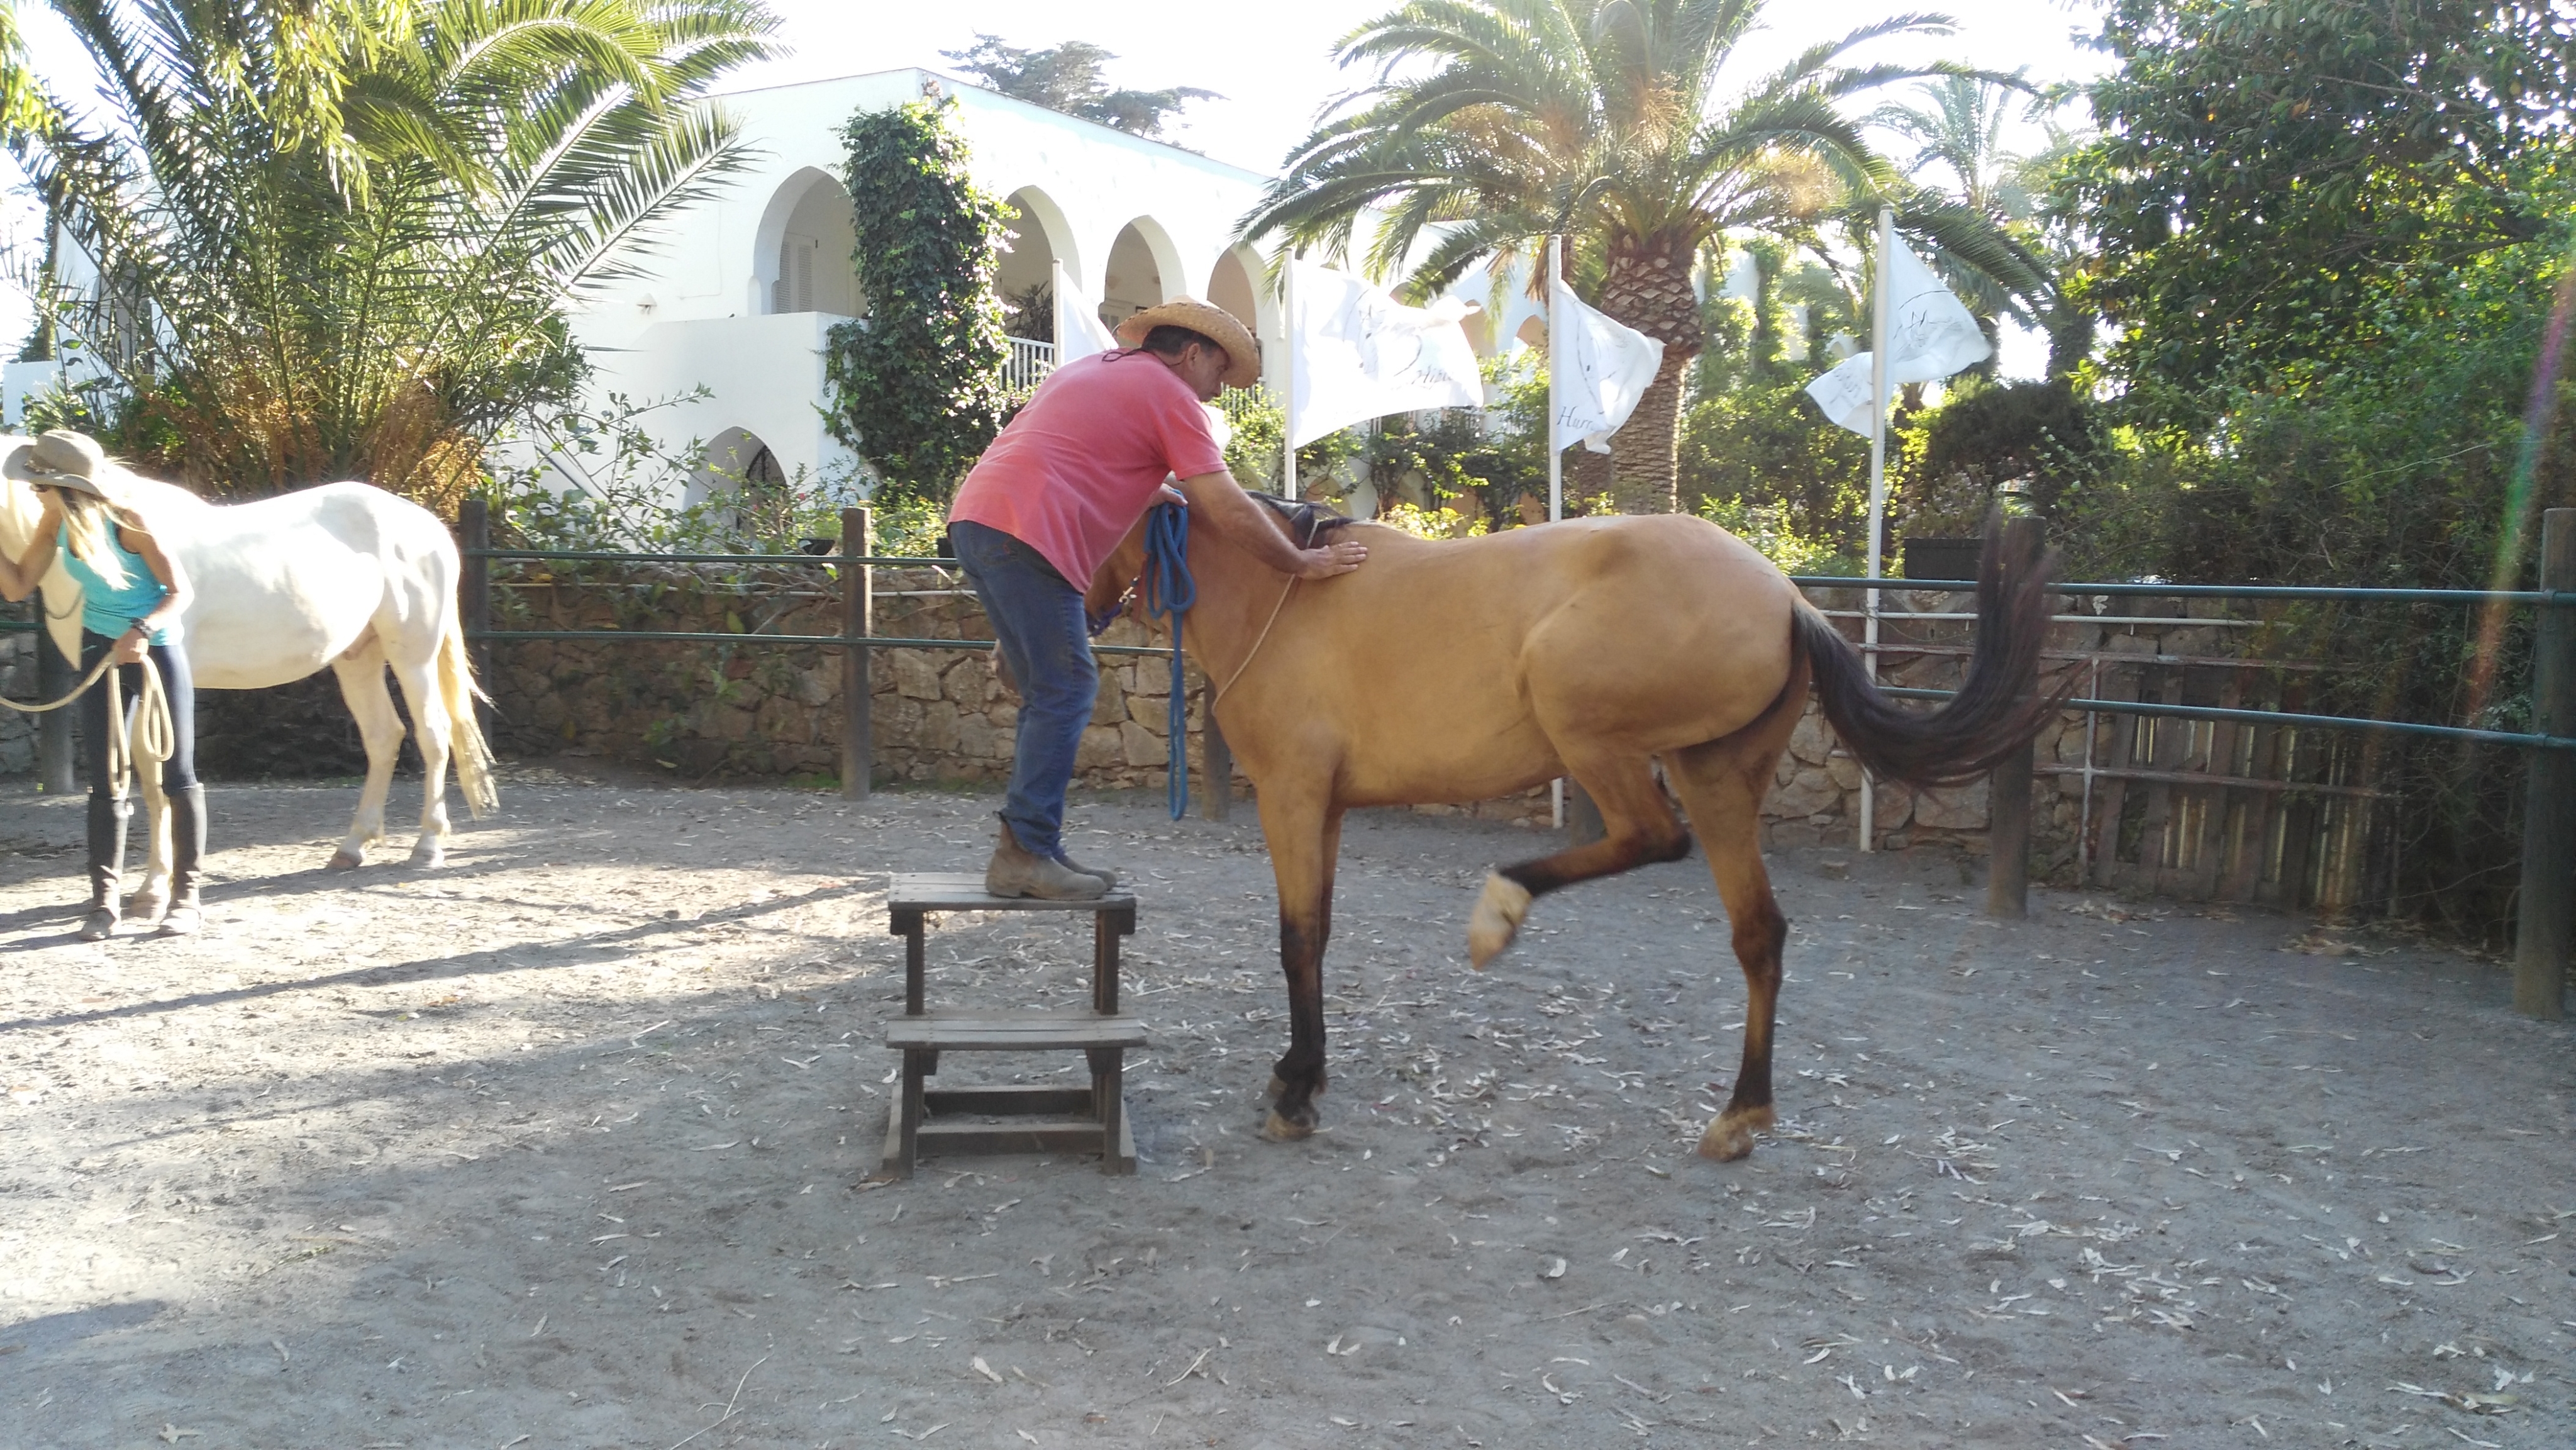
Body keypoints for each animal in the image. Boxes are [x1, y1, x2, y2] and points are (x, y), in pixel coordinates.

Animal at [0, 439, 497, 913]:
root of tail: (428, 526)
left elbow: (155, 778)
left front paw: (153, 889)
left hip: (413, 656)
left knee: (433, 735)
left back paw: (427, 846)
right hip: (358, 657)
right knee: (383, 735)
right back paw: (352, 847)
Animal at [1088, 499, 2057, 1160]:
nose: (1084, 597)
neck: (1285, 596)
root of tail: (1787, 596)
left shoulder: (1291, 797)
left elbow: (1297, 941)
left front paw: (1295, 1093)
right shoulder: (1323, 808)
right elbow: (1318, 937)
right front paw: (1303, 1072)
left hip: (1589, 727)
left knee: (1651, 839)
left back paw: (1501, 910)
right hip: (1716, 778)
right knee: (1758, 934)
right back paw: (1740, 1113)